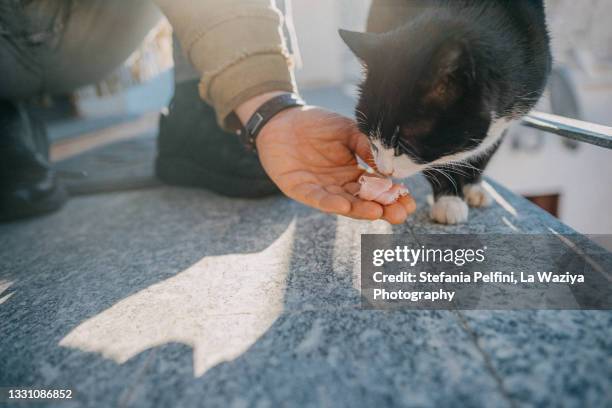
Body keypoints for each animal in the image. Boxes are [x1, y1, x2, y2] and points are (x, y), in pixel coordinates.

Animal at [342, 0, 552, 223]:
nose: (385, 170)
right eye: (369, 136)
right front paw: (449, 201)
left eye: (403, 146)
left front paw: (473, 186)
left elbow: (486, 148)